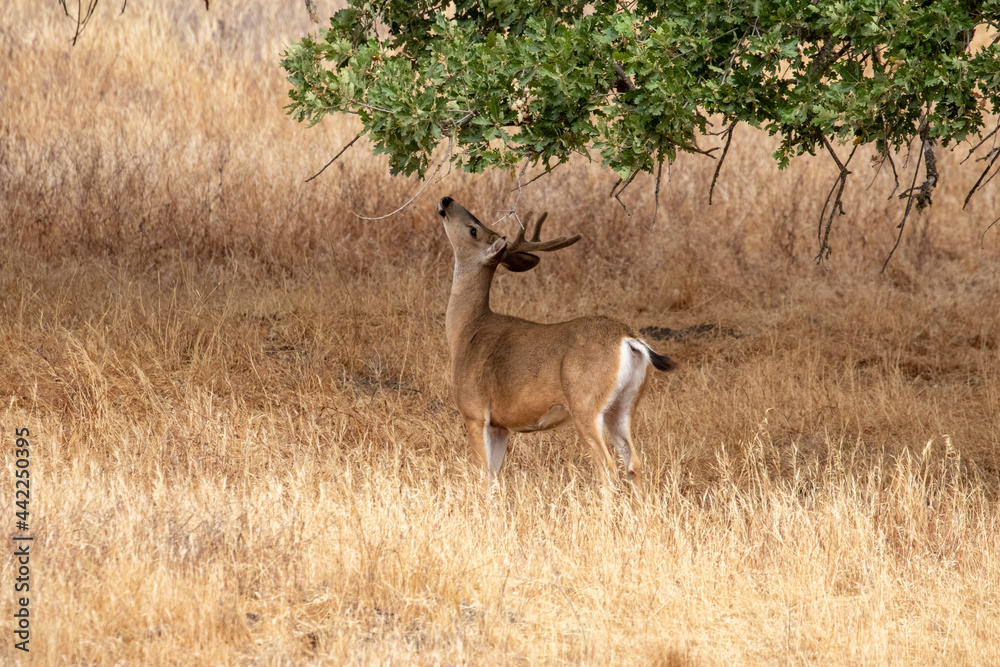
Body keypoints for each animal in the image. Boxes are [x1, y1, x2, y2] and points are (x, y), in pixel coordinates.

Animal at [438, 196, 675, 490]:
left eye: (473, 230)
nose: (447, 200)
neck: (466, 331)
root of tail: (629, 338)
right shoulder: (500, 425)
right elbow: (494, 477)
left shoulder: (475, 412)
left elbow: (482, 476)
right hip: (624, 404)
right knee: (634, 462)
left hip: (585, 402)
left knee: (607, 466)